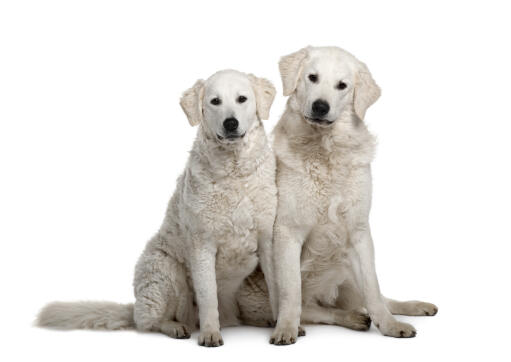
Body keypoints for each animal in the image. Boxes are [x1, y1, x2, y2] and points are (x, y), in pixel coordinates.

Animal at [37, 68, 278, 348]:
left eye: (242, 99)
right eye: (215, 101)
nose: (230, 123)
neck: (234, 170)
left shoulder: (267, 239)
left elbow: (277, 288)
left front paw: (282, 325)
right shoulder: (202, 244)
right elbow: (208, 297)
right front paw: (209, 334)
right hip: (164, 270)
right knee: (150, 321)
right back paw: (176, 327)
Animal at [268, 46, 440, 344]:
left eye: (342, 85)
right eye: (312, 77)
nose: (320, 106)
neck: (325, 150)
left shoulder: (358, 230)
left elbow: (373, 289)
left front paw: (390, 326)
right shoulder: (288, 231)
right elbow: (292, 293)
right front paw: (286, 328)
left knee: (380, 298)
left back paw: (412, 308)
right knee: (314, 308)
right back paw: (351, 318)